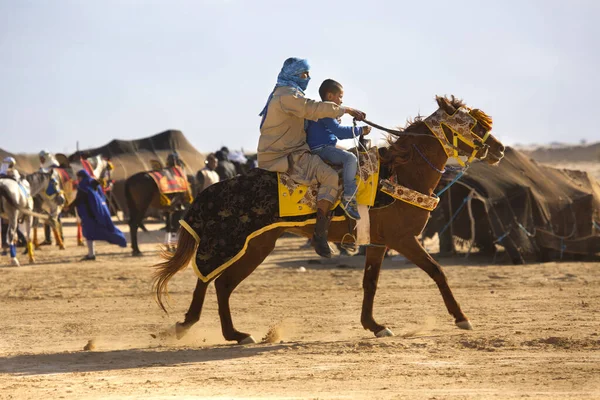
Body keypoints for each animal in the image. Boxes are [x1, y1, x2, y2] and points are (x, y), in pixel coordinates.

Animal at [152, 96, 504, 344]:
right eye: (473, 125)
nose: (499, 149)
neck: (401, 174)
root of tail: (208, 192)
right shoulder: (404, 240)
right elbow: (437, 271)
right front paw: (462, 318)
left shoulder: (377, 242)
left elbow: (370, 283)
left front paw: (374, 326)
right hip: (239, 245)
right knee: (217, 281)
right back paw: (222, 332)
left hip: (247, 245)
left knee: (213, 281)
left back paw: (202, 328)